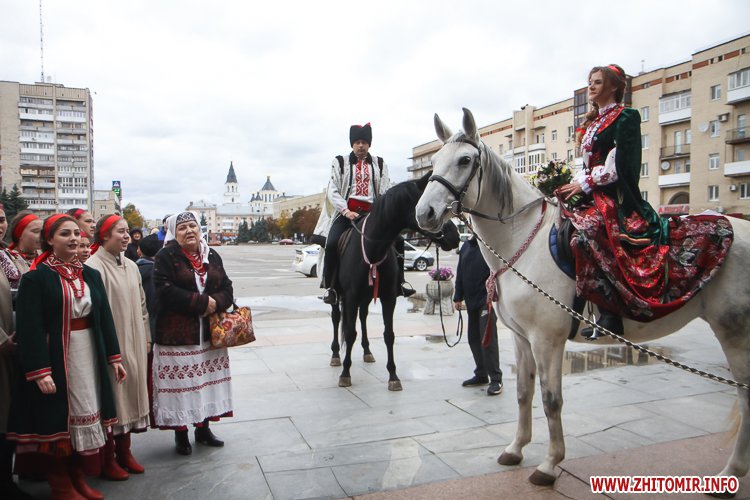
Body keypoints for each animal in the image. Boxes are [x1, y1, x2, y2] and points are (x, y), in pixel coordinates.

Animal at [335, 172, 460, 390]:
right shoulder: (350, 297)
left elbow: (389, 334)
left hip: (365, 298)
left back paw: (367, 351)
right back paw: (335, 355)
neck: (373, 248)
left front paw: (393, 375)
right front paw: (345, 373)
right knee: (336, 319)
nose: (456, 237)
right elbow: (349, 333)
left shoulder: (388, 297)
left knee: (363, 317)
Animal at [415, 108, 750, 488]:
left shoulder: (547, 339)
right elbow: (523, 393)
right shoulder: (521, 338)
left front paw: (549, 464)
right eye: (434, 163)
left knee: (745, 396)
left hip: (734, 330)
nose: (424, 214)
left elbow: (551, 400)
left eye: (465, 160)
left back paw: (731, 472)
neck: (521, 242)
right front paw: (515, 449)